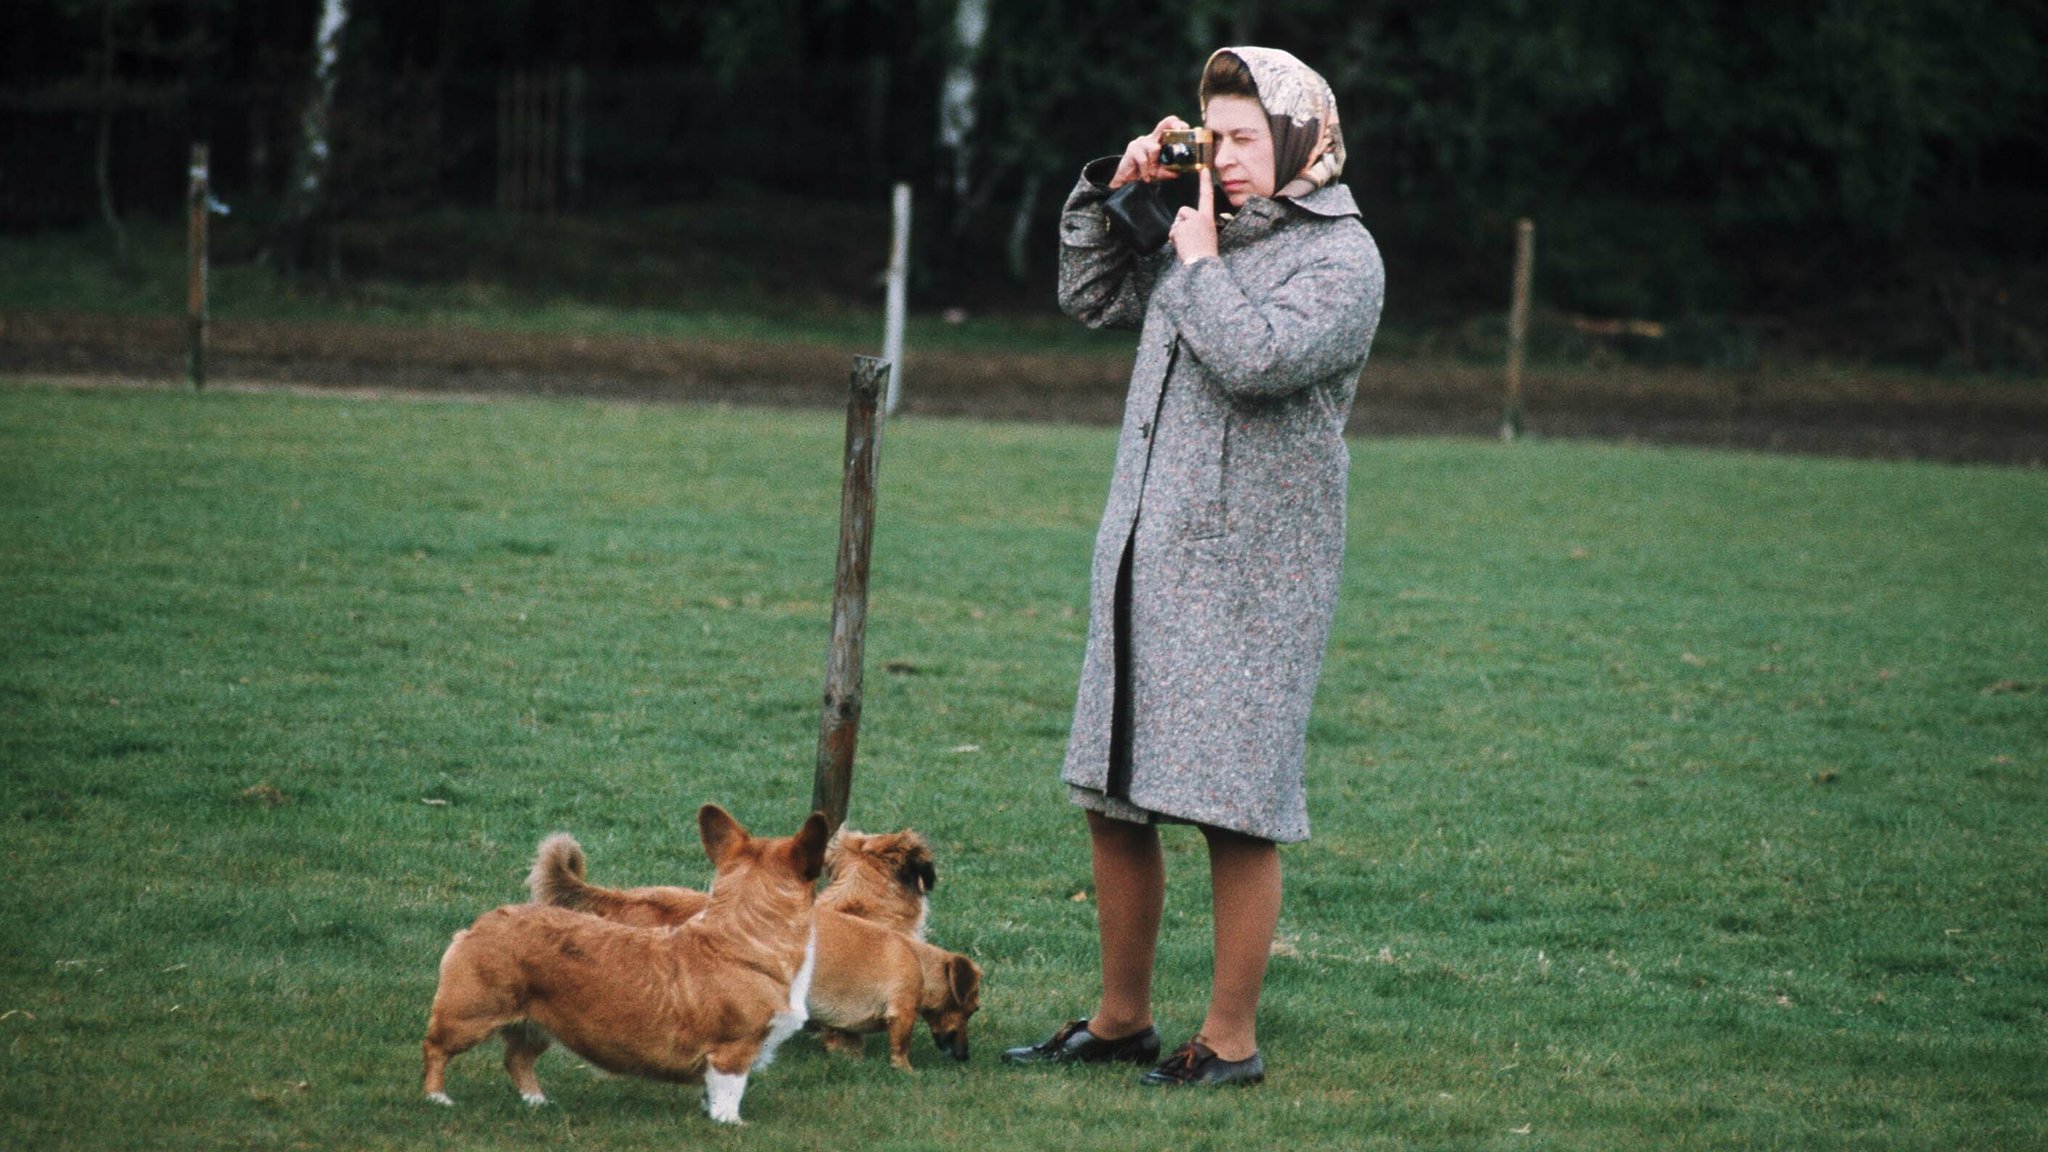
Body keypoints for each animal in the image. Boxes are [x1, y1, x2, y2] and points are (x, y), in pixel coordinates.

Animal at [419, 803, 827, 1115]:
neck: (743, 938)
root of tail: (478, 926)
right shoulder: (733, 1051)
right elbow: (729, 1093)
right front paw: (729, 1124)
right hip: (469, 1016)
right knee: (435, 1048)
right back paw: (437, 1098)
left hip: (538, 1024)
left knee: (517, 1059)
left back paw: (537, 1101)